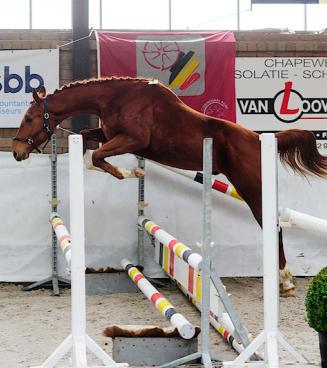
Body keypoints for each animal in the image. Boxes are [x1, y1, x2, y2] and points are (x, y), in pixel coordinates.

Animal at [11, 77, 327, 296]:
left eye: (29, 118)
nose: (16, 152)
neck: (117, 98)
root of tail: (259, 138)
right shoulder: (109, 134)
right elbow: (91, 147)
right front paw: (132, 169)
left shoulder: (133, 140)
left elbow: (95, 157)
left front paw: (132, 170)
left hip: (252, 188)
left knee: (274, 227)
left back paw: (285, 280)